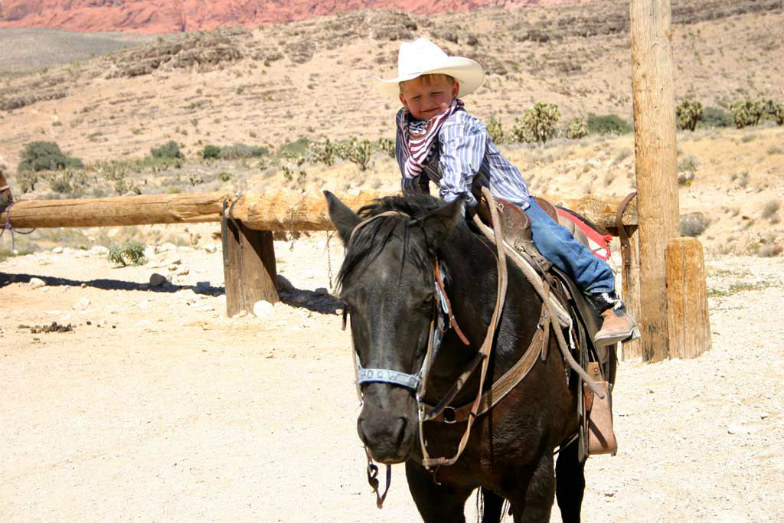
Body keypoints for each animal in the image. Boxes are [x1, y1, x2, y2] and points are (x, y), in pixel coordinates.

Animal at [324, 192, 588, 523]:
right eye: (347, 303)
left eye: (427, 300)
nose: (382, 430)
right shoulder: (429, 489)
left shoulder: (535, 483)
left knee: (571, 489)